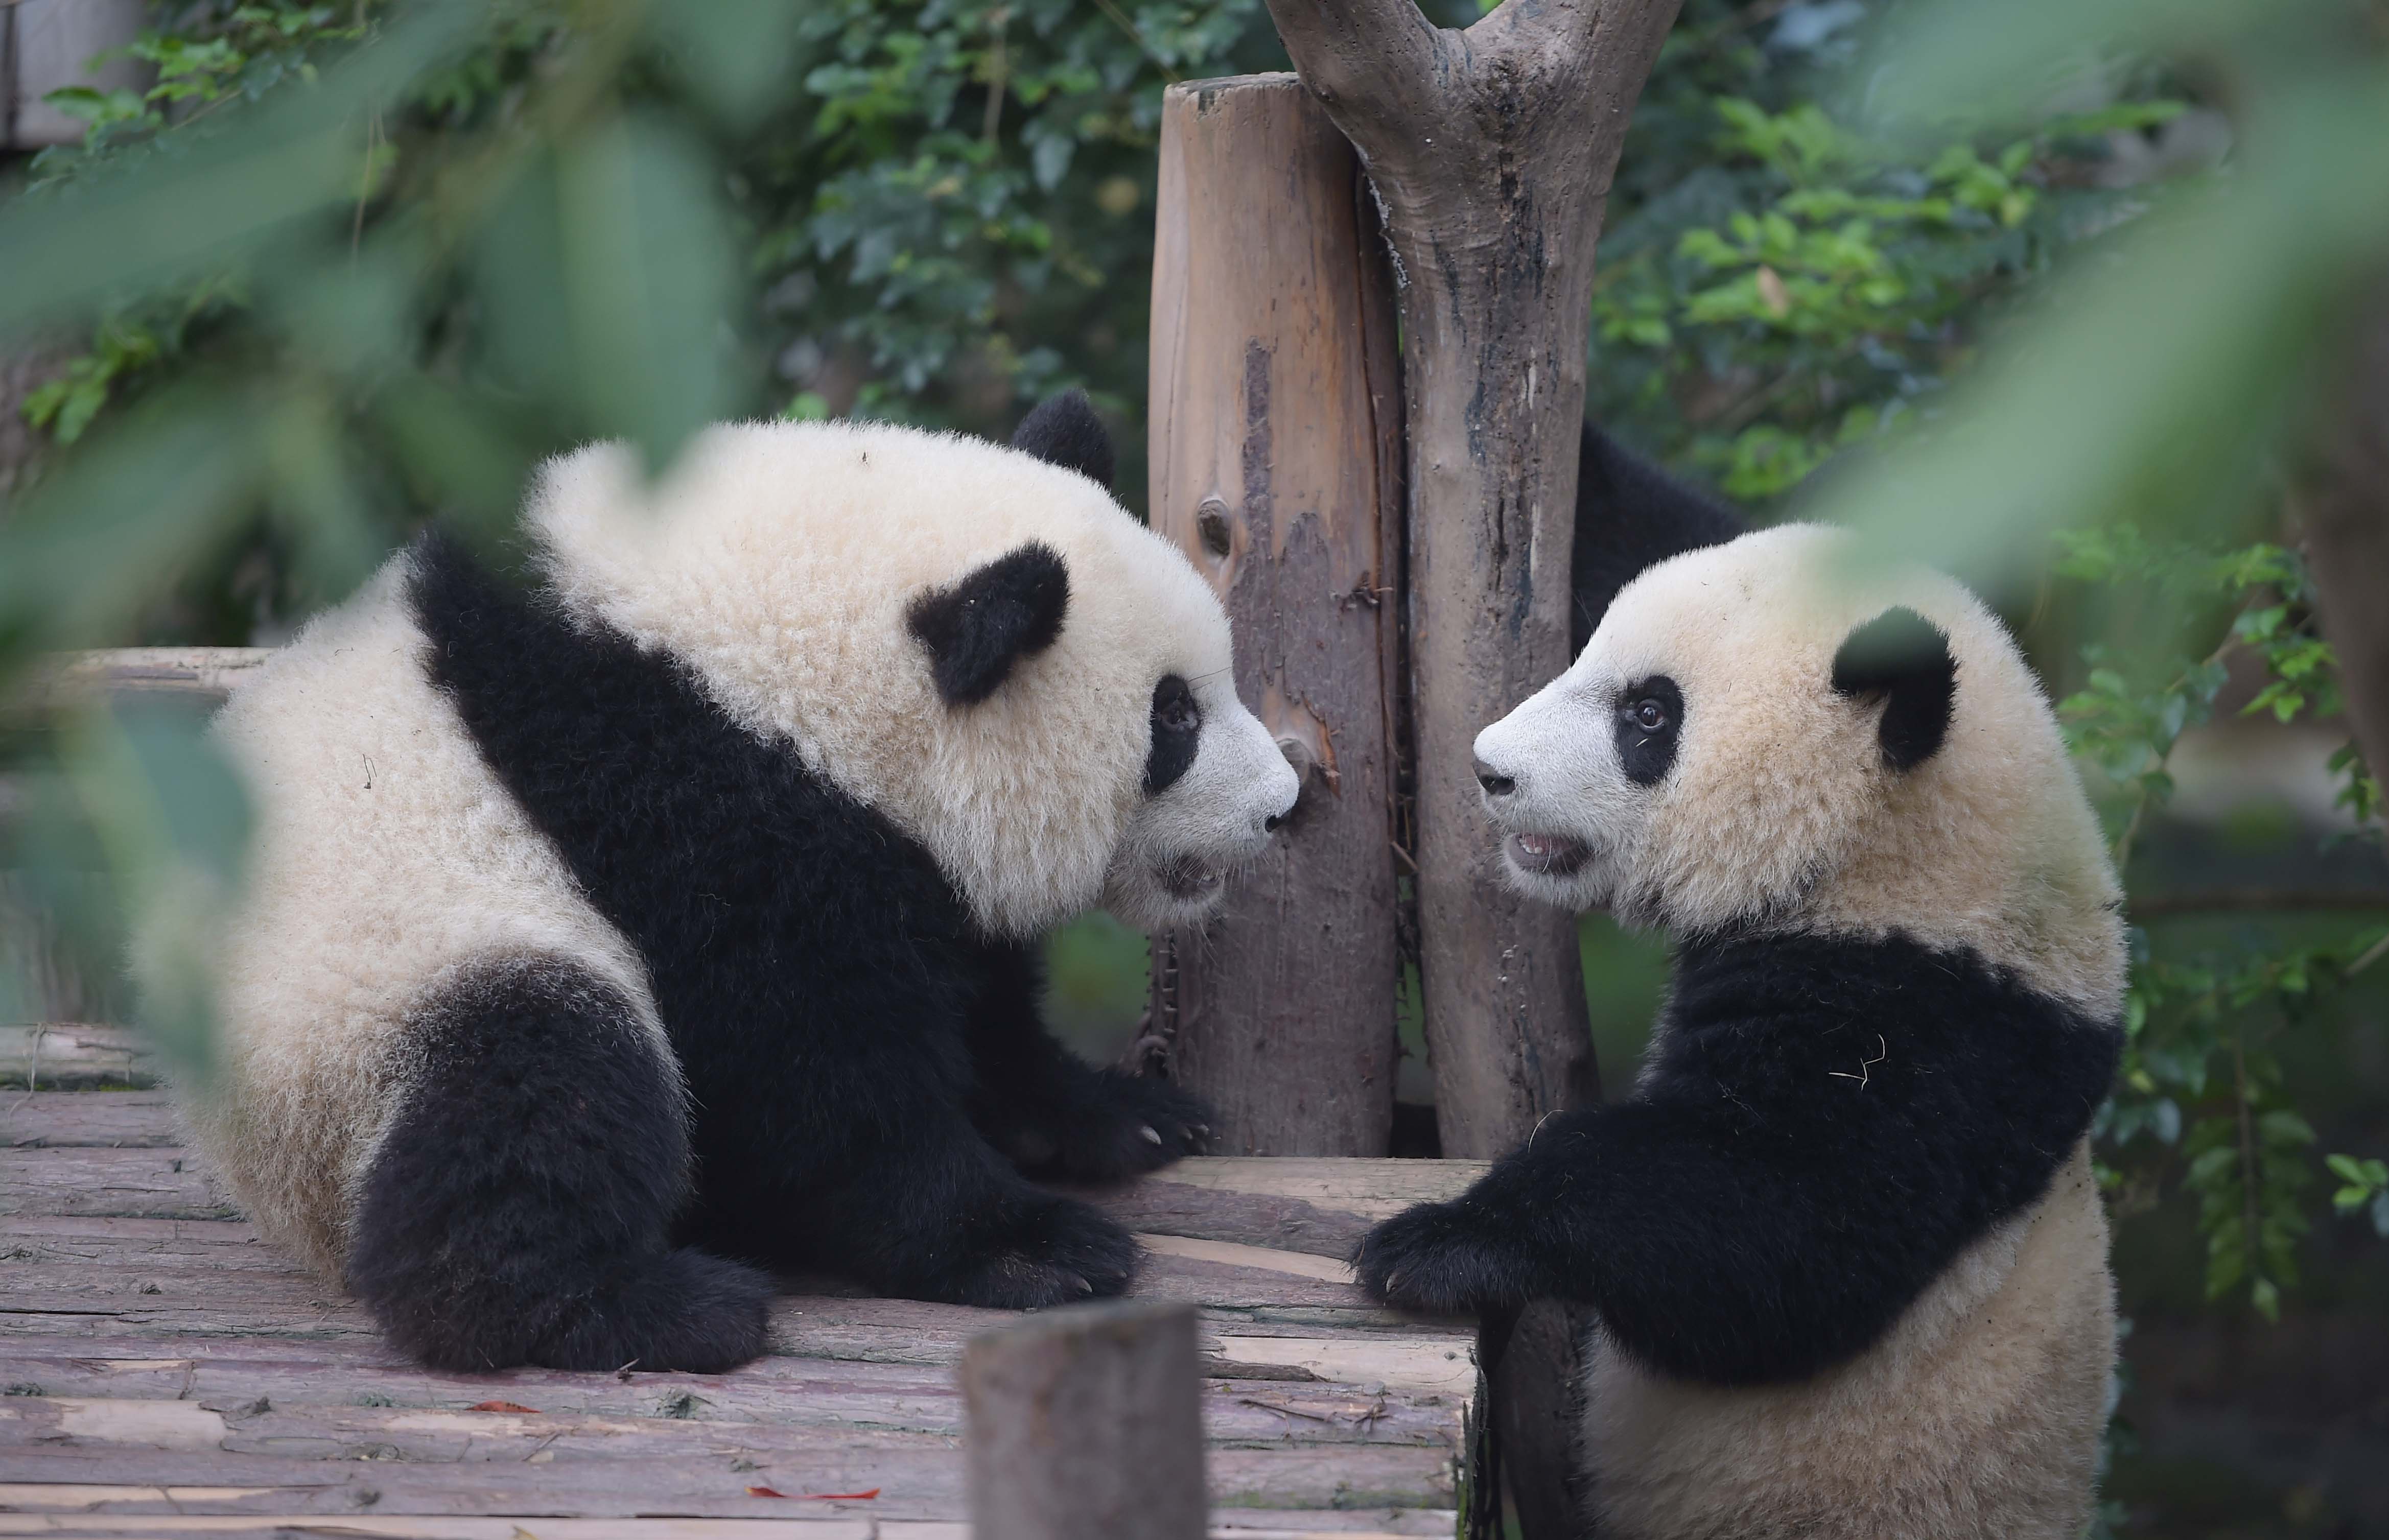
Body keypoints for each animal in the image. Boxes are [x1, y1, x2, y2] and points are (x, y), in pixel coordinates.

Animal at [181, 394, 1309, 1365]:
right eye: (1174, 718)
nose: (1281, 804)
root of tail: (272, 1182)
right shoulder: (684, 805)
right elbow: (808, 1076)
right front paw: (1030, 1247)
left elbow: (977, 1003)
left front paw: (1122, 1113)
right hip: (375, 1001)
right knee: (543, 1077)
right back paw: (639, 1310)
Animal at [1356, 430, 2121, 1537]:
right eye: (1587, 646)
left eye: (1647, 714)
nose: (1490, 769)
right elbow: (1638, 516)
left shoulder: (1933, 1033)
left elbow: (1772, 1229)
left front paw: (1443, 1238)